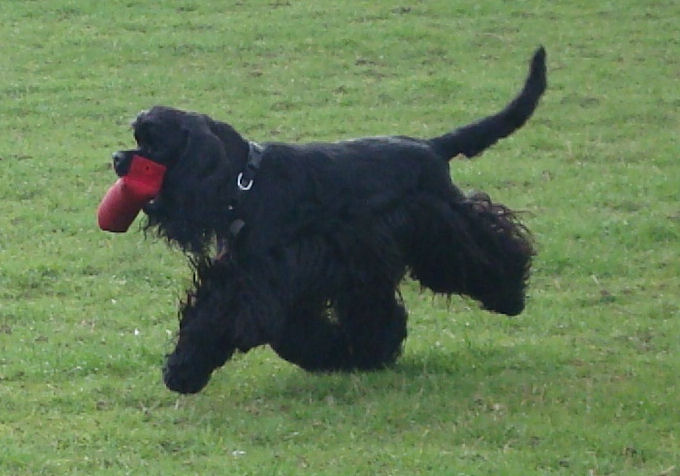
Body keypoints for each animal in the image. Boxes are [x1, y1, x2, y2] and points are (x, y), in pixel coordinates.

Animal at [111, 47, 548, 394]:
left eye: (152, 144)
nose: (116, 158)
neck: (245, 183)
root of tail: (432, 147)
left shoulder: (263, 279)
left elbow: (228, 320)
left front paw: (183, 371)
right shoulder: (270, 274)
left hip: (440, 228)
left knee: (491, 247)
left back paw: (509, 295)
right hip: (370, 263)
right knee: (379, 308)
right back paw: (372, 351)